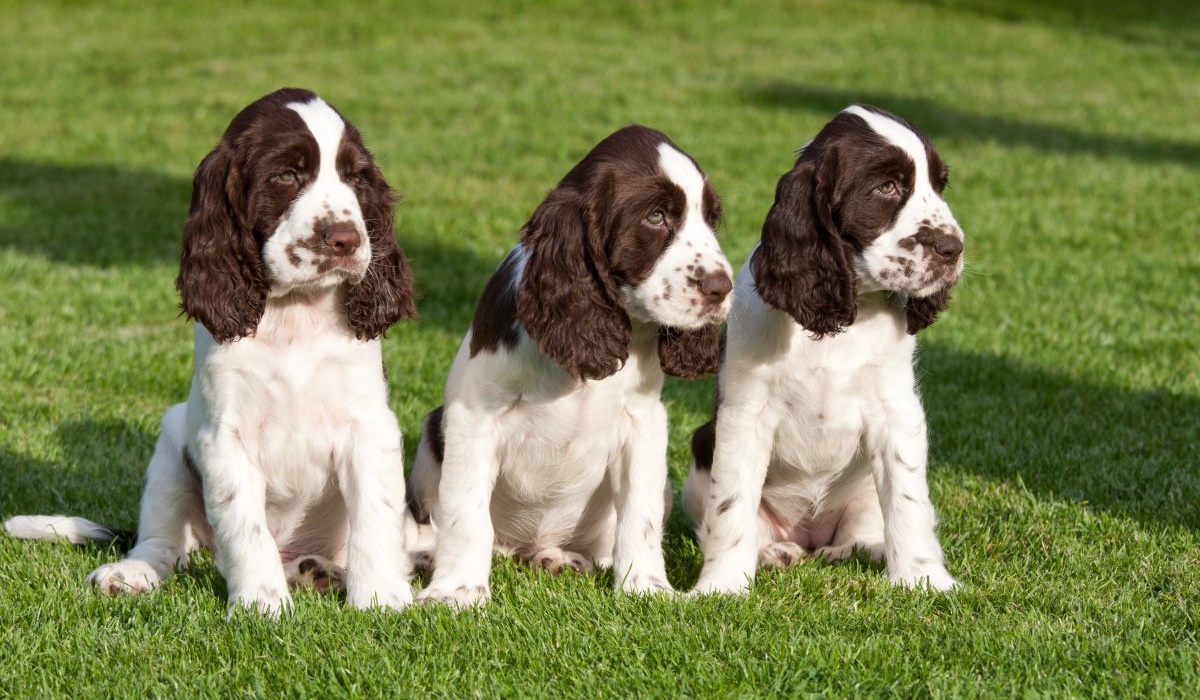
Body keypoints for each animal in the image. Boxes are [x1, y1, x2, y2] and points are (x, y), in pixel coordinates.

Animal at [5, 88, 417, 619]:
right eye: (286, 174)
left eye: (356, 177)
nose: (347, 240)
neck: (294, 315)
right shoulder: (224, 436)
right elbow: (244, 524)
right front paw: (262, 604)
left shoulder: (369, 426)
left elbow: (375, 518)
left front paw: (382, 598)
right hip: (170, 440)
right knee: (162, 544)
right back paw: (133, 573)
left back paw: (319, 571)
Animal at [410, 126, 729, 607]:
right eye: (655, 216)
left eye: (710, 218)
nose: (722, 288)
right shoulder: (473, 418)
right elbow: (466, 514)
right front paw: (457, 592)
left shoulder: (644, 423)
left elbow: (640, 514)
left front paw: (647, 587)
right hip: (433, 436)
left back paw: (559, 558)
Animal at [686, 106, 964, 595]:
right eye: (886, 187)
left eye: (939, 184)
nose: (954, 248)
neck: (842, 318)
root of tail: (808, 536)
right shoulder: (744, 415)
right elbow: (731, 506)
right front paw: (721, 586)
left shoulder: (896, 410)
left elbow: (909, 501)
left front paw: (924, 579)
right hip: (703, 448)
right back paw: (773, 553)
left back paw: (863, 549)